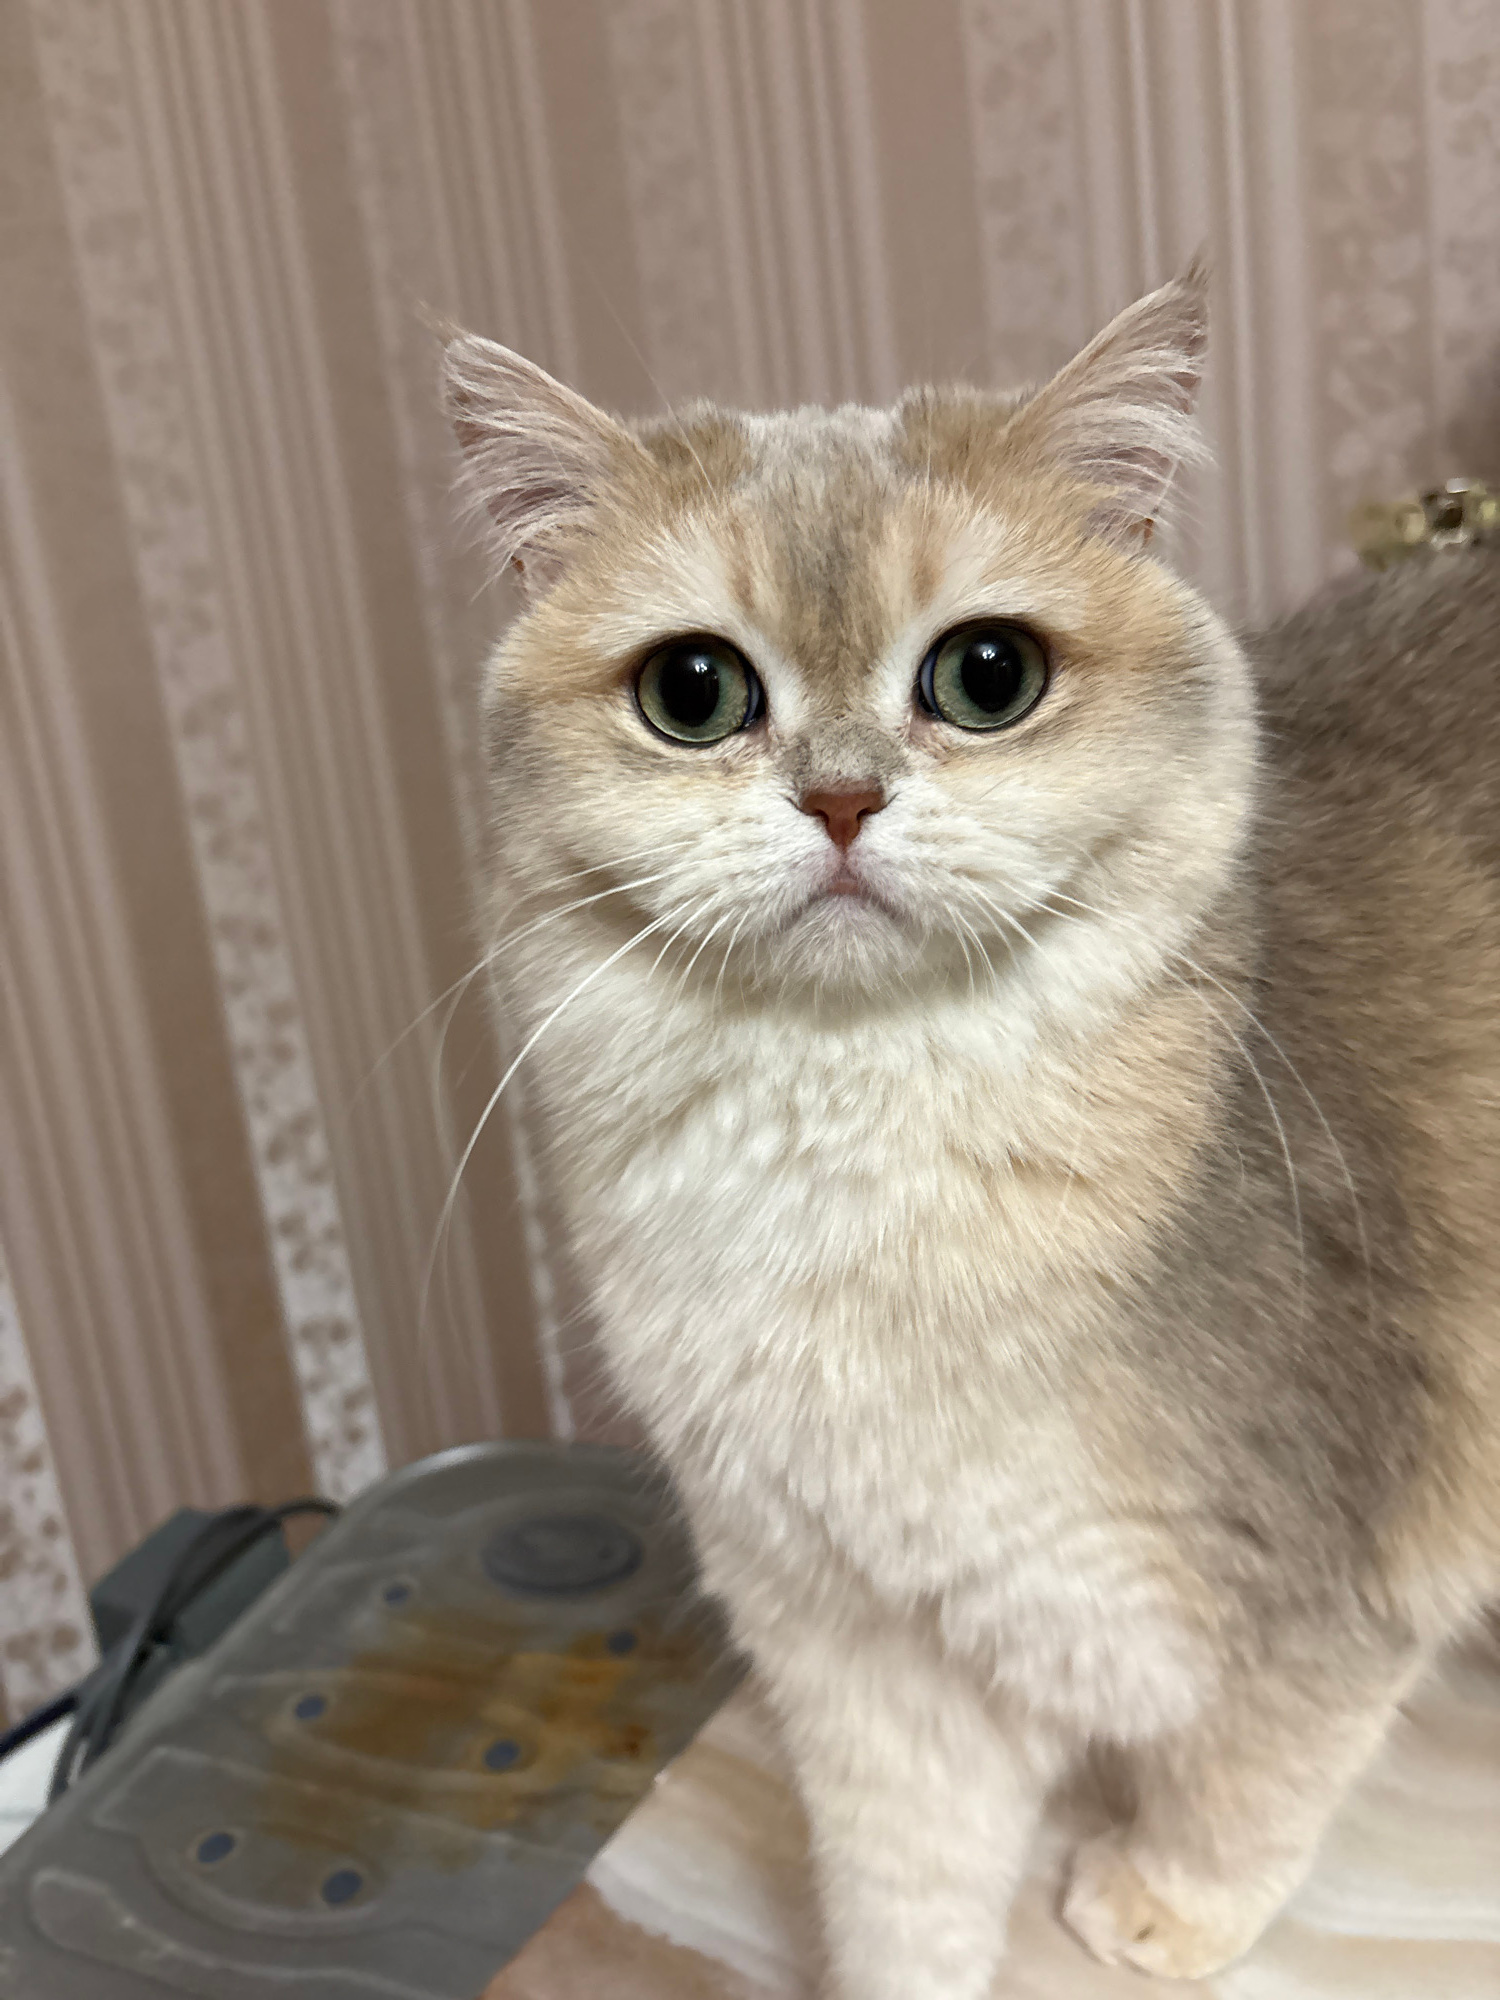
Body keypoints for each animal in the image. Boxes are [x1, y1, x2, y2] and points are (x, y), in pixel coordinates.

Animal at [443, 263, 1500, 1996]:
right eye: (692, 693)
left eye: (986, 676)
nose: (842, 799)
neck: (856, 1153)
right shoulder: (866, 1643)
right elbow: (905, 1888)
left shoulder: (1317, 1579)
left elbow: (1251, 1775)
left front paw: (1163, 1906)